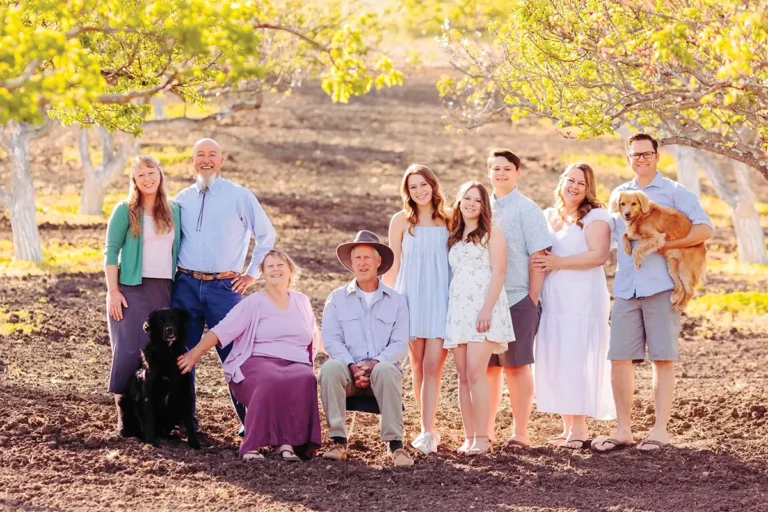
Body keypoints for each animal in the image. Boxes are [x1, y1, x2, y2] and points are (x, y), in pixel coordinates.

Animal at [118, 308, 200, 448]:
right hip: (125, 401)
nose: (169, 329)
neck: (168, 354)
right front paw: (151, 442)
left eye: (174, 318)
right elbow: (149, 419)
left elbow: (189, 421)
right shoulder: (148, 394)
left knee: (164, 430)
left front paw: (194, 443)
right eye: (161, 321)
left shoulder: (185, 393)